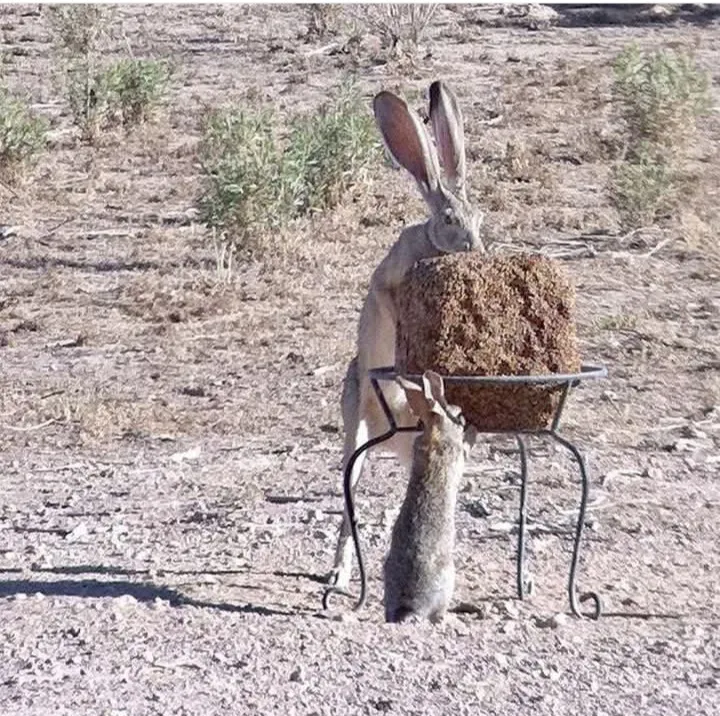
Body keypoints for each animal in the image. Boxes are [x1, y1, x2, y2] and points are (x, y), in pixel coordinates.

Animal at [329, 81, 485, 590]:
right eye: (451, 220)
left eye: (480, 217)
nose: (477, 248)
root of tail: (390, 438)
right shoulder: (387, 285)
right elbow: (393, 304)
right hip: (356, 430)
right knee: (349, 495)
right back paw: (338, 574)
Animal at [383, 371, 476, 623]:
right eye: (458, 414)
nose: (466, 418)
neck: (434, 433)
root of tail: (410, 605)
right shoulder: (456, 454)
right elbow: (466, 448)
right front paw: (473, 432)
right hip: (448, 578)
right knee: (438, 614)